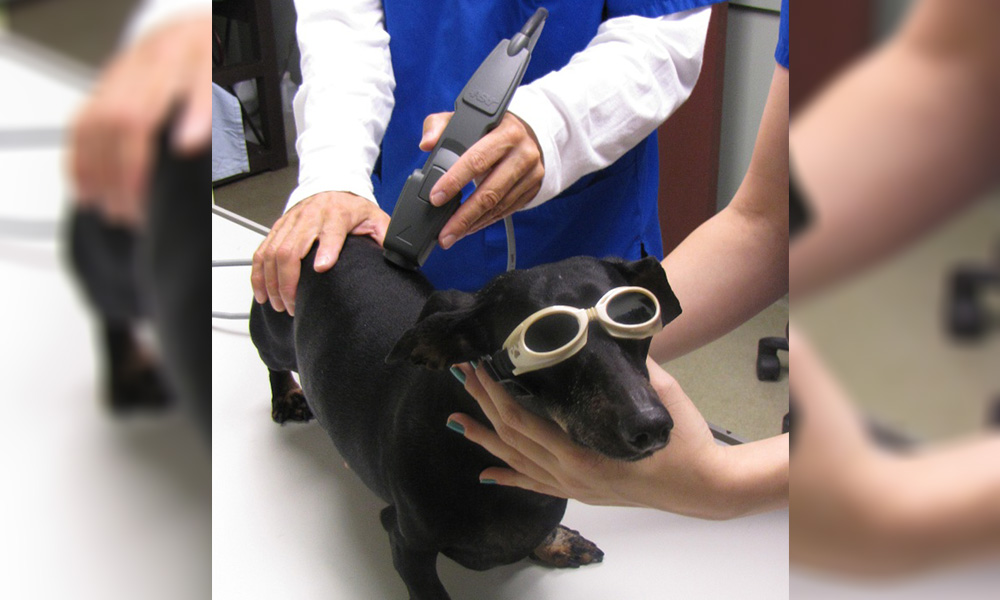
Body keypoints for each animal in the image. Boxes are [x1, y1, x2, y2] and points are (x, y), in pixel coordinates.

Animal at [252, 237, 680, 596]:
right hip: (272, 331)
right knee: (270, 358)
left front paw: (554, 542)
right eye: (547, 338)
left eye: (637, 315)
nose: (651, 425)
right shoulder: (405, 541)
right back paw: (286, 393)